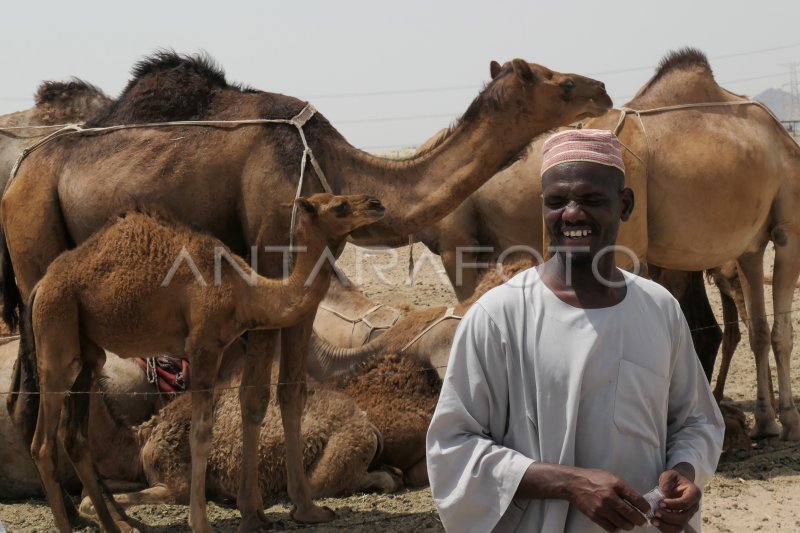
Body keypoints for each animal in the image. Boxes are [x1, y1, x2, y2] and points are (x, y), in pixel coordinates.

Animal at [10, 192, 386, 532]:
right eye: (339, 206)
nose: (376, 204)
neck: (244, 290)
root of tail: (40, 286)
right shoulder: (203, 344)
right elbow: (202, 432)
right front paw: (202, 523)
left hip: (87, 352)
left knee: (75, 436)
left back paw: (114, 527)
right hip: (55, 337)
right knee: (43, 443)